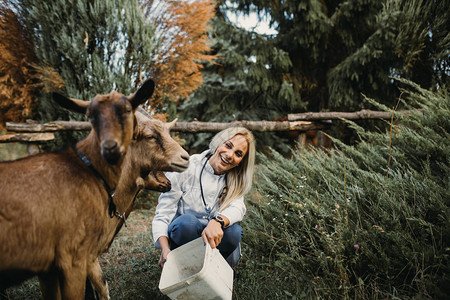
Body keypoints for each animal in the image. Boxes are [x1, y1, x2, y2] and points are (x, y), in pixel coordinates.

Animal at [0, 79, 155, 300]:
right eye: (91, 116)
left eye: (127, 109)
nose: (110, 148)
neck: (88, 169)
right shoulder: (74, 257)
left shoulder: (48, 268)